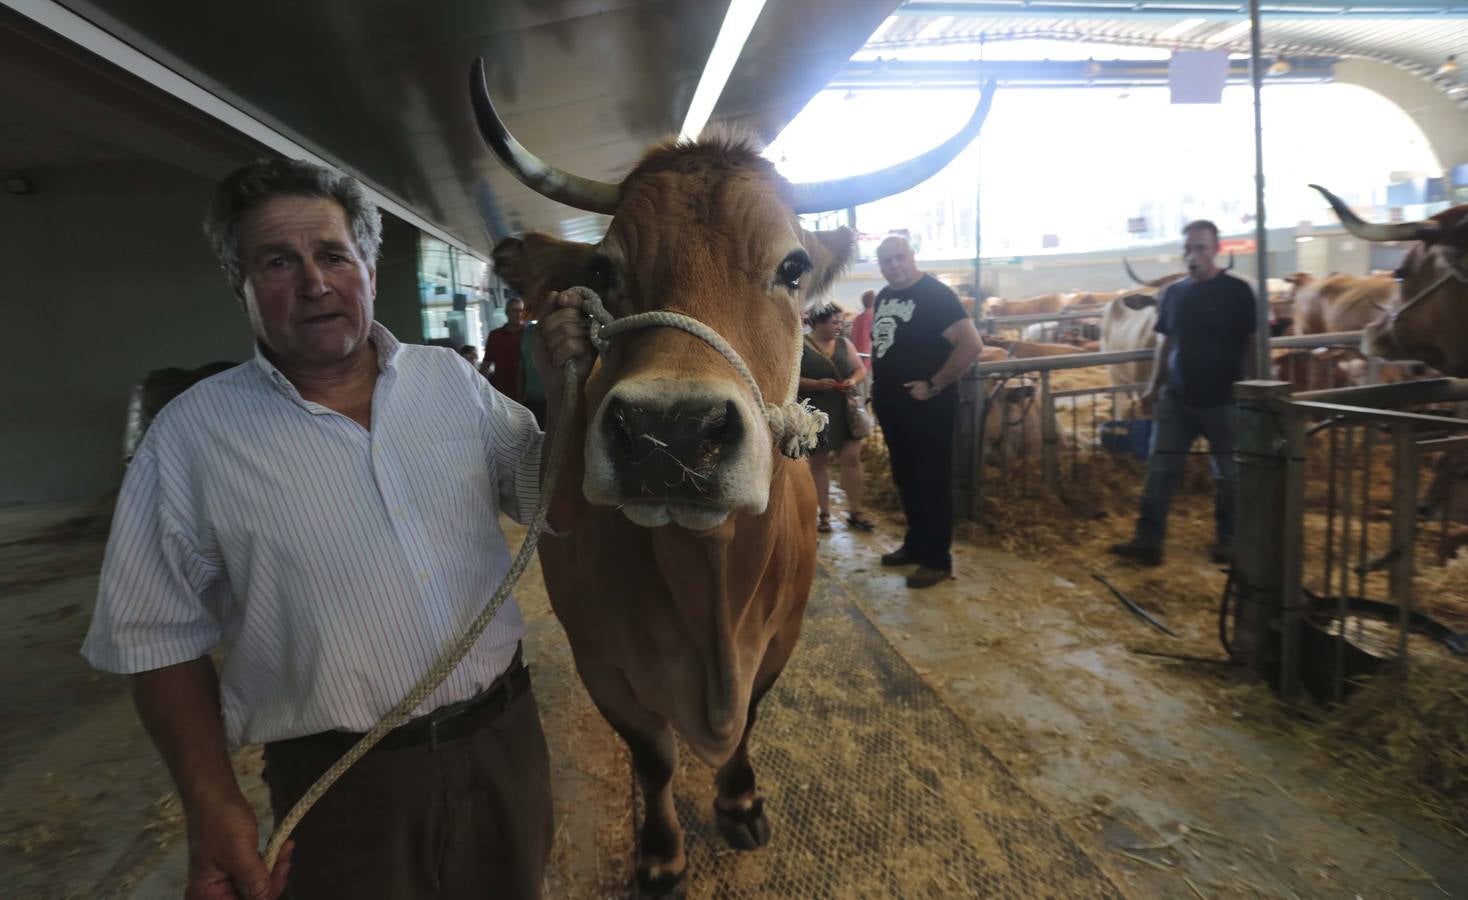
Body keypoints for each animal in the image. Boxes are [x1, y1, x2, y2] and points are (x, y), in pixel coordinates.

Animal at [475, 59, 992, 892]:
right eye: (603, 269)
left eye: (794, 266)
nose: (671, 431)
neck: (710, 583)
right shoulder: (601, 660)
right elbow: (652, 759)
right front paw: (660, 855)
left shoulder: (781, 636)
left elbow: (749, 720)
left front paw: (741, 803)